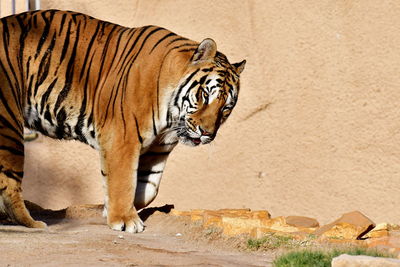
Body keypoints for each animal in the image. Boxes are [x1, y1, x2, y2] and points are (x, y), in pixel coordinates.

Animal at [0, 9, 244, 233]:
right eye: (204, 95)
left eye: (226, 108)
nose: (206, 134)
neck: (172, 118)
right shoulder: (122, 138)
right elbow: (124, 180)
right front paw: (125, 220)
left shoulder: (157, 150)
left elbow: (147, 189)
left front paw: (110, 209)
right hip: (9, 126)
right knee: (10, 183)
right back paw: (32, 223)